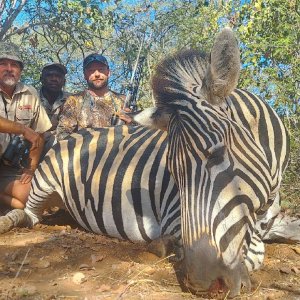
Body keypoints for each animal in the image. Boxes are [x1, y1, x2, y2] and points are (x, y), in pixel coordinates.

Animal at [0, 28, 292, 298]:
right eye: (173, 172)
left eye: (218, 154)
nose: (203, 283)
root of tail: (73, 134)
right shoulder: (174, 215)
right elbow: (252, 252)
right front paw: (168, 247)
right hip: (43, 182)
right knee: (28, 214)